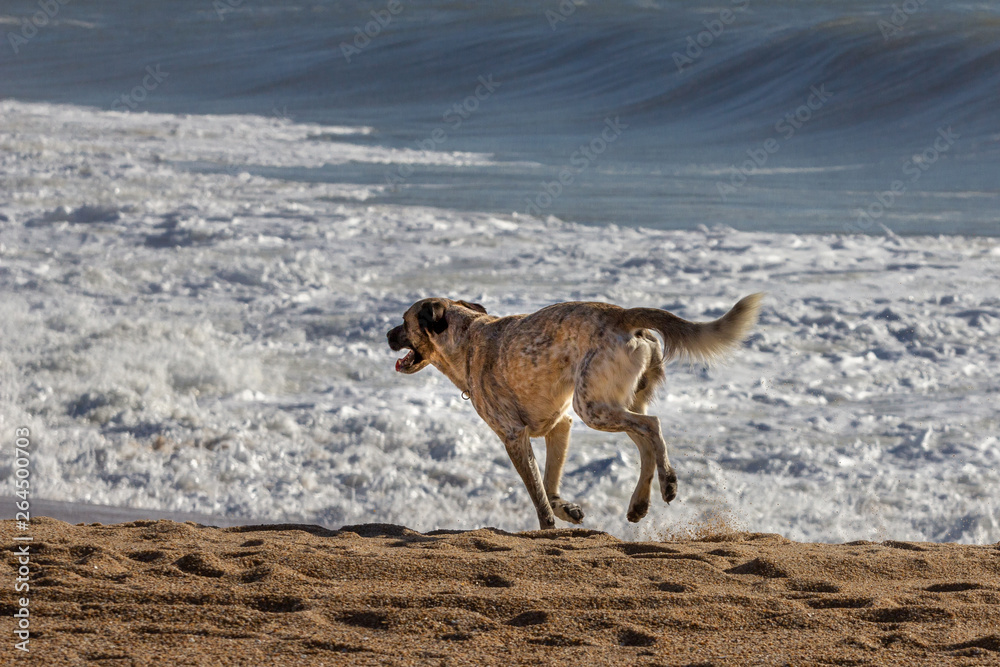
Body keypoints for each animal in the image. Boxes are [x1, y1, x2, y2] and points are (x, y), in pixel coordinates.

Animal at [386, 294, 760, 528]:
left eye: (404, 321)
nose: (386, 333)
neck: (468, 337)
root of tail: (622, 314)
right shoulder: (559, 426)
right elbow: (549, 488)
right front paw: (567, 510)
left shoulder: (514, 437)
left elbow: (538, 495)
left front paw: (549, 525)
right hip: (613, 404)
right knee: (644, 444)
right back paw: (639, 503)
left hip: (593, 408)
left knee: (652, 426)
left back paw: (669, 482)